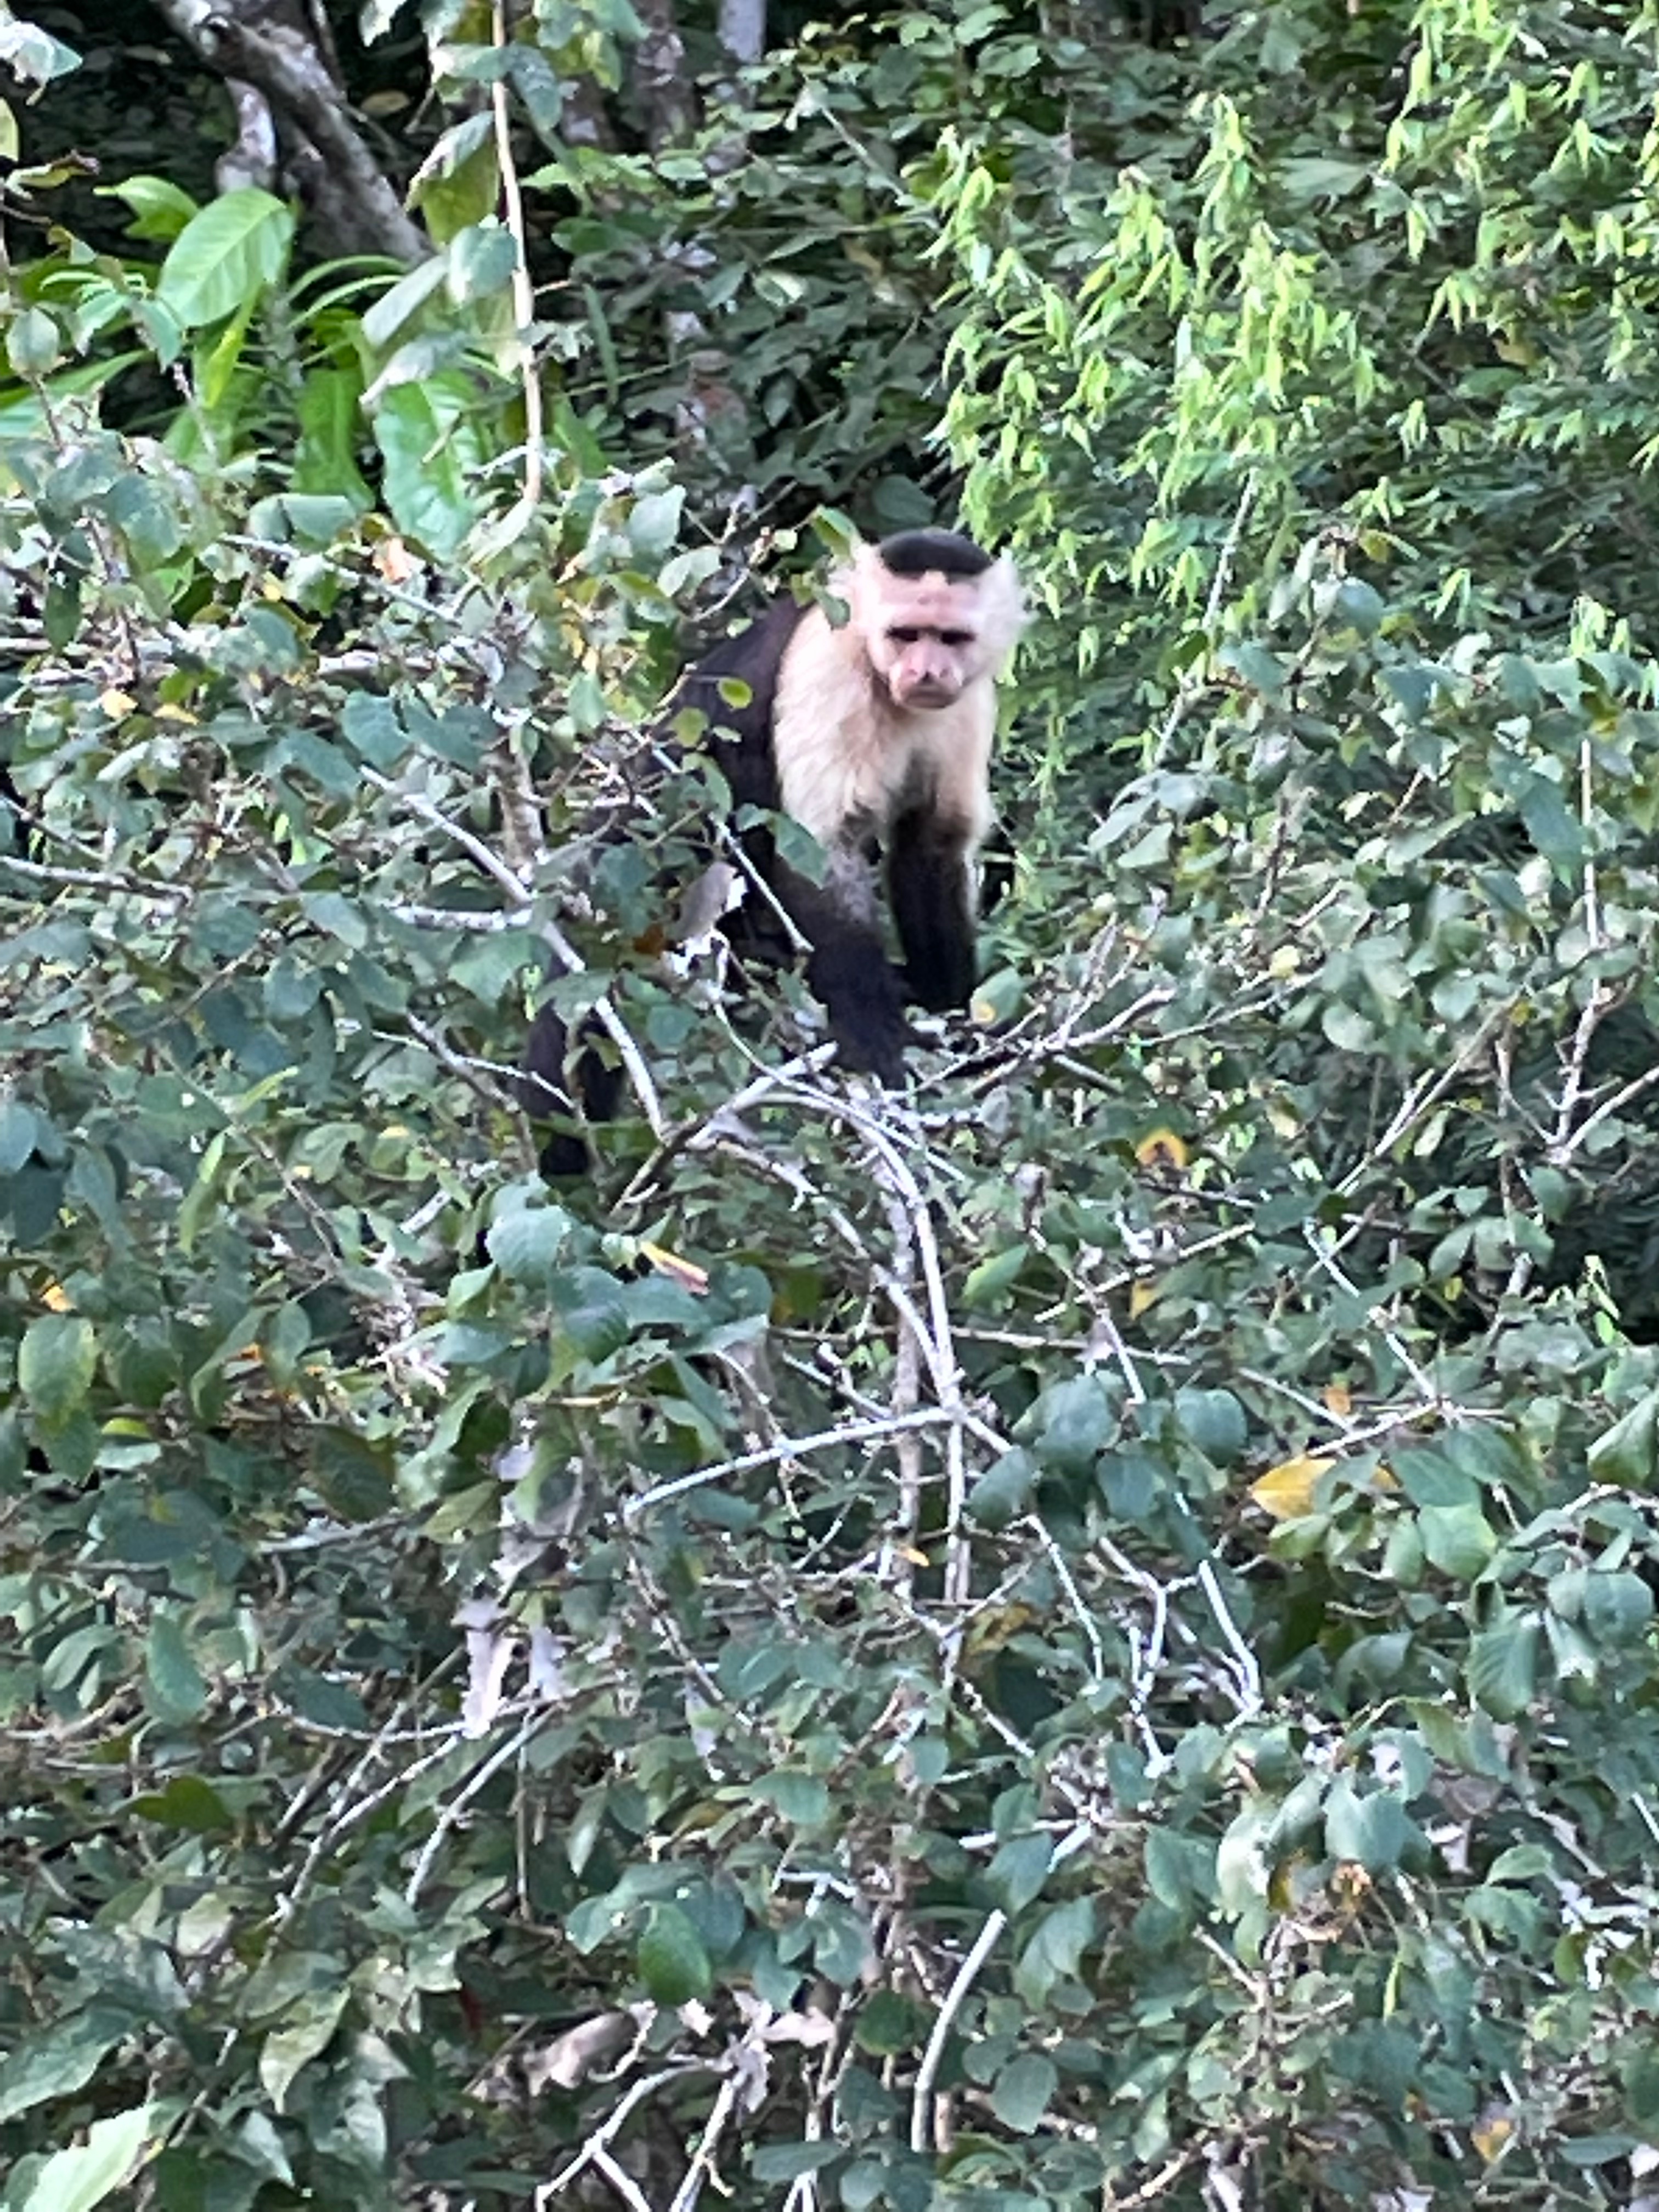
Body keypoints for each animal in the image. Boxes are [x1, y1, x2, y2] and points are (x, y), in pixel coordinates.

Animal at [520, 527, 1026, 1174]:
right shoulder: (828, 664)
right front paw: (873, 1032)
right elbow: (822, 850)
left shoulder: (970, 698)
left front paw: (952, 1015)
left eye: (951, 639)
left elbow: (932, 845)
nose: (928, 671)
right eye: (906, 635)